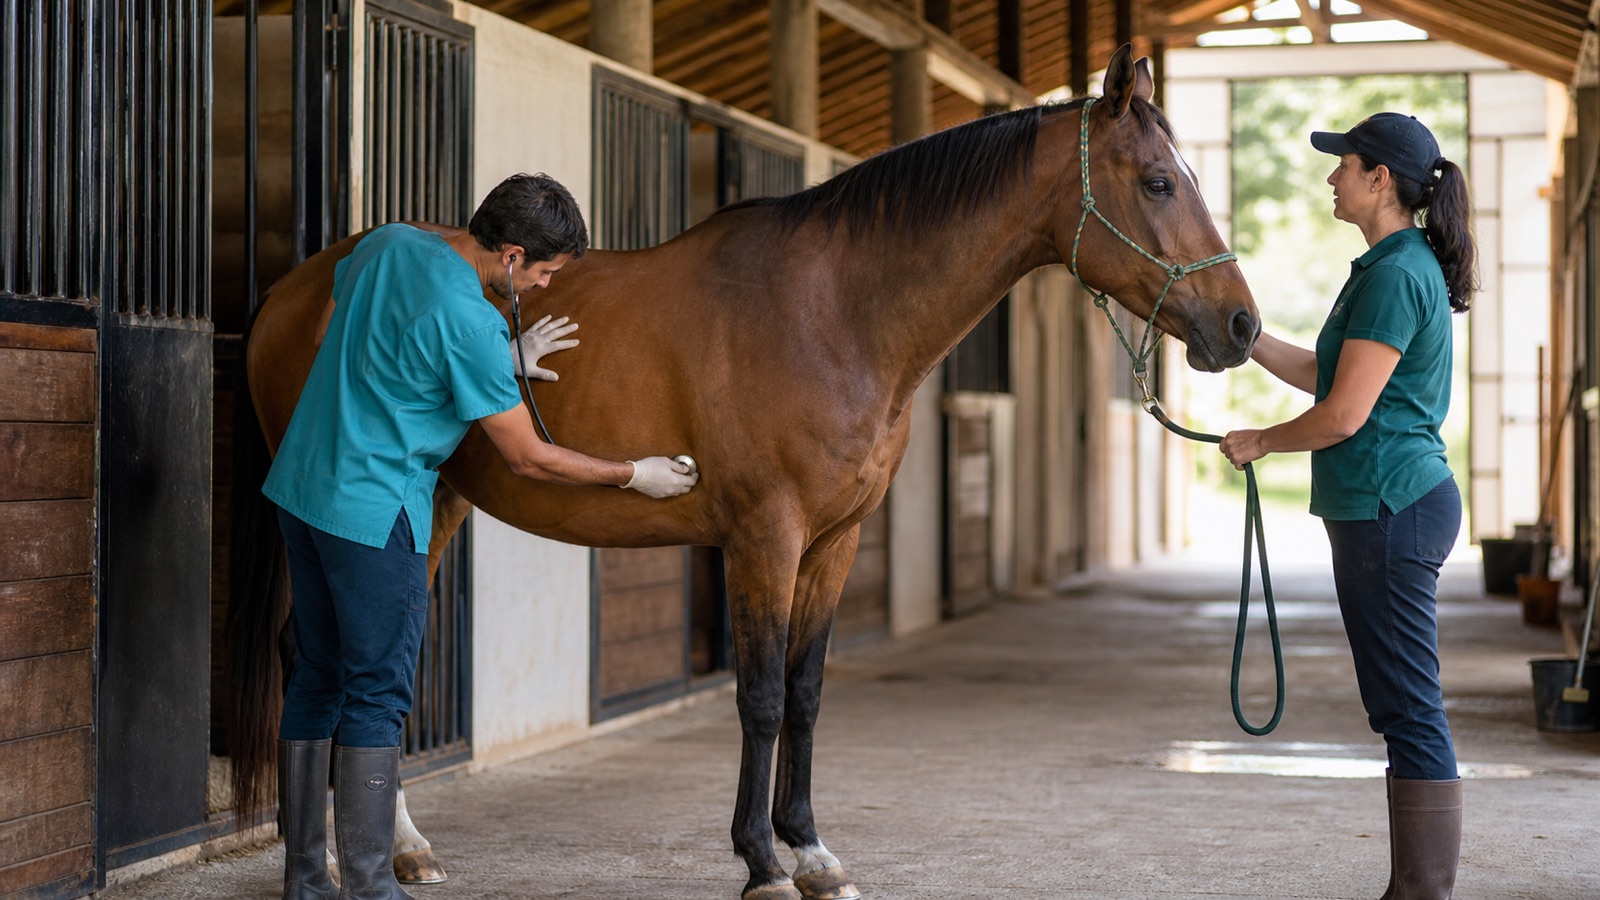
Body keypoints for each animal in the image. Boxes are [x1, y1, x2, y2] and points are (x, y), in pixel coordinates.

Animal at [228, 44, 1258, 900]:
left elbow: (804, 692)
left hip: (435, 502)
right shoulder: (767, 534)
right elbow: (759, 695)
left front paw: (814, 853)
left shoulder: (835, 541)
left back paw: (393, 849)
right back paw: (341, 856)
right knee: (328, 661)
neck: (838, 313)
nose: (1241, 326)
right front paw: (762, 863)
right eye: (1159, 181)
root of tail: (298, 287)